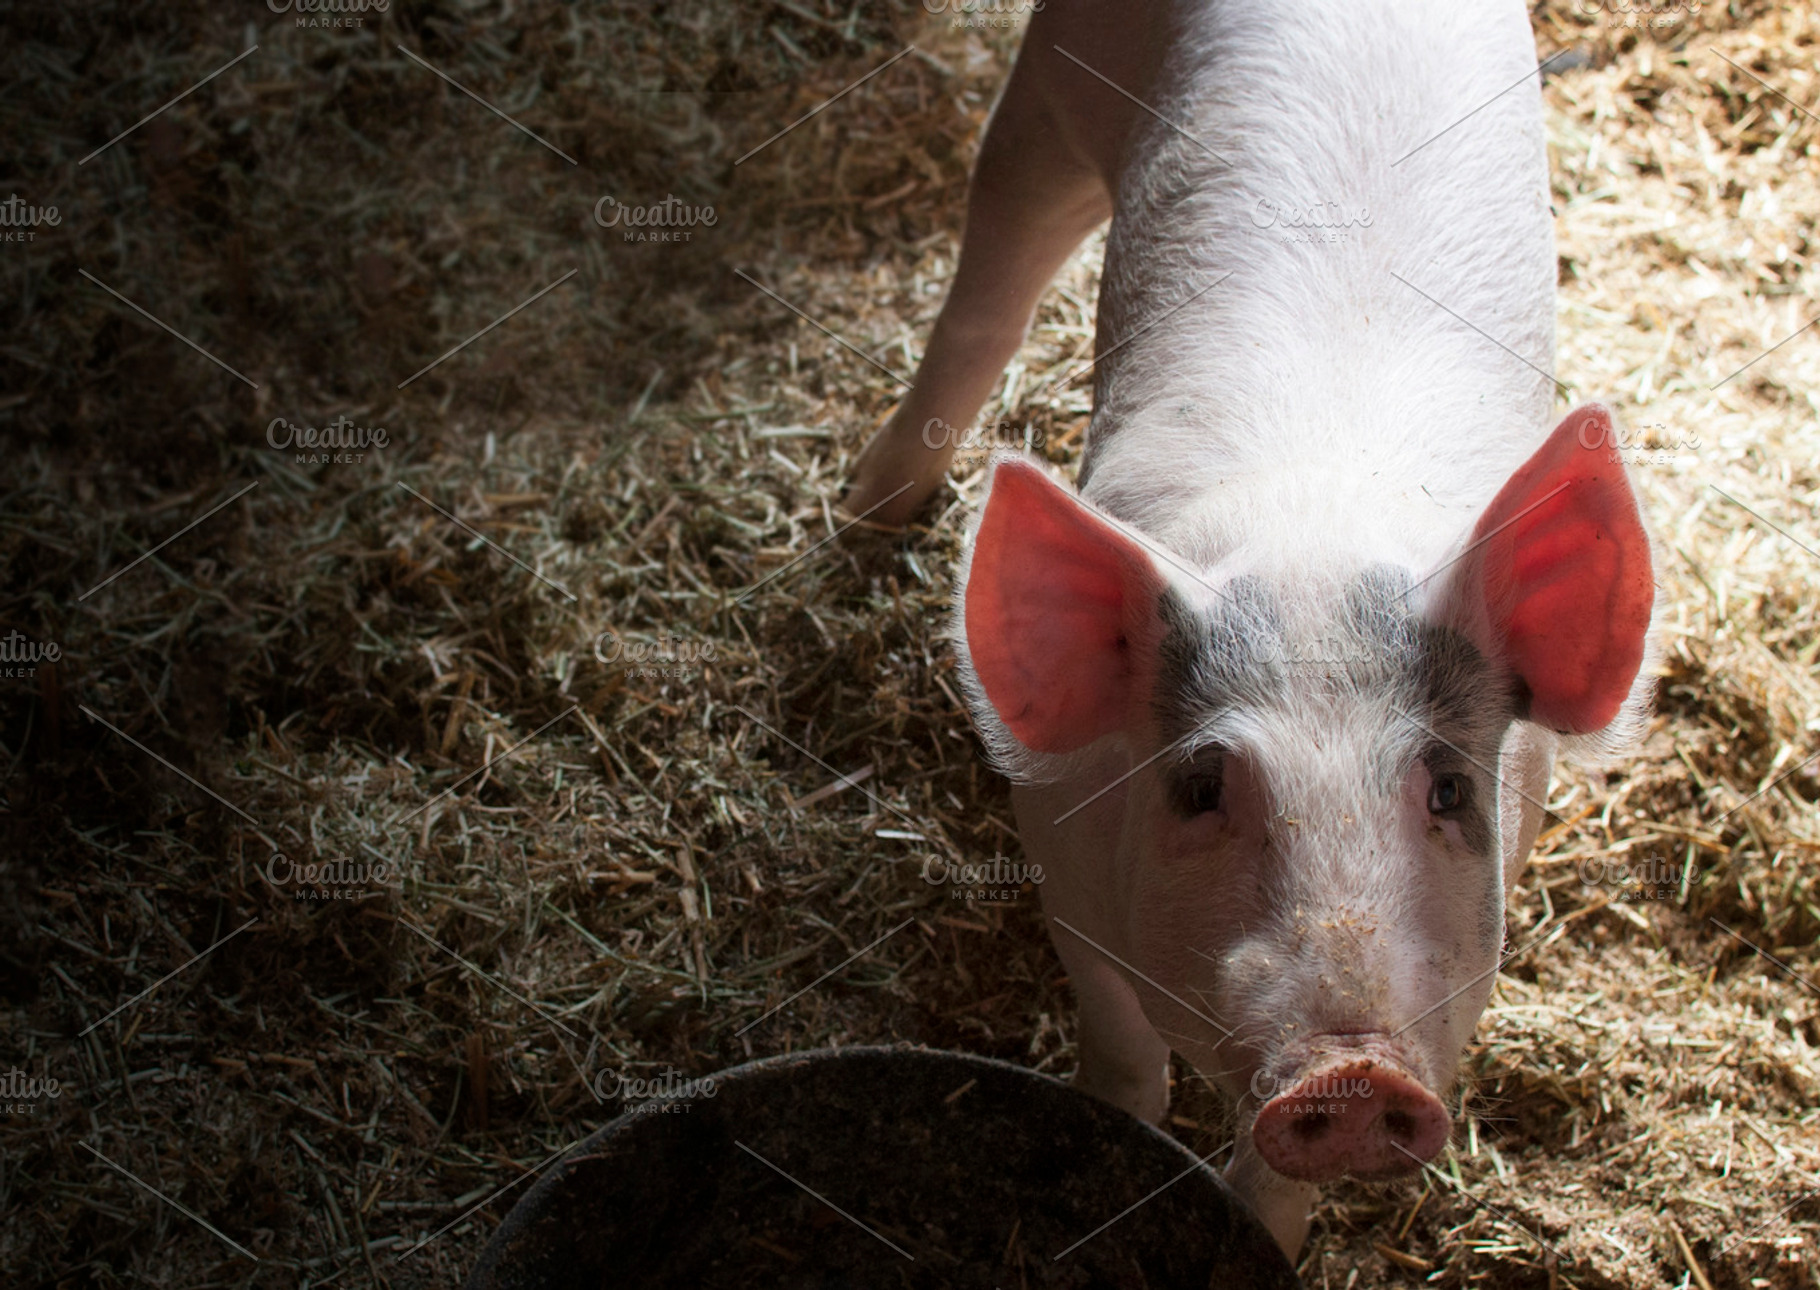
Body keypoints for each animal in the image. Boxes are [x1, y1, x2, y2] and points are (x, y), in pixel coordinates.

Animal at [844, 0, 1657, 1259]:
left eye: (1446, 789)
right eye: (1199, 787)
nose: (1352, 1075)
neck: (1308, 538)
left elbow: (1269, 1180)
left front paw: (1262, 1238)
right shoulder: (1059, 861)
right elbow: (1123, 1058)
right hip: (1048, 93)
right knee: (989, 286)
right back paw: (864, 510)